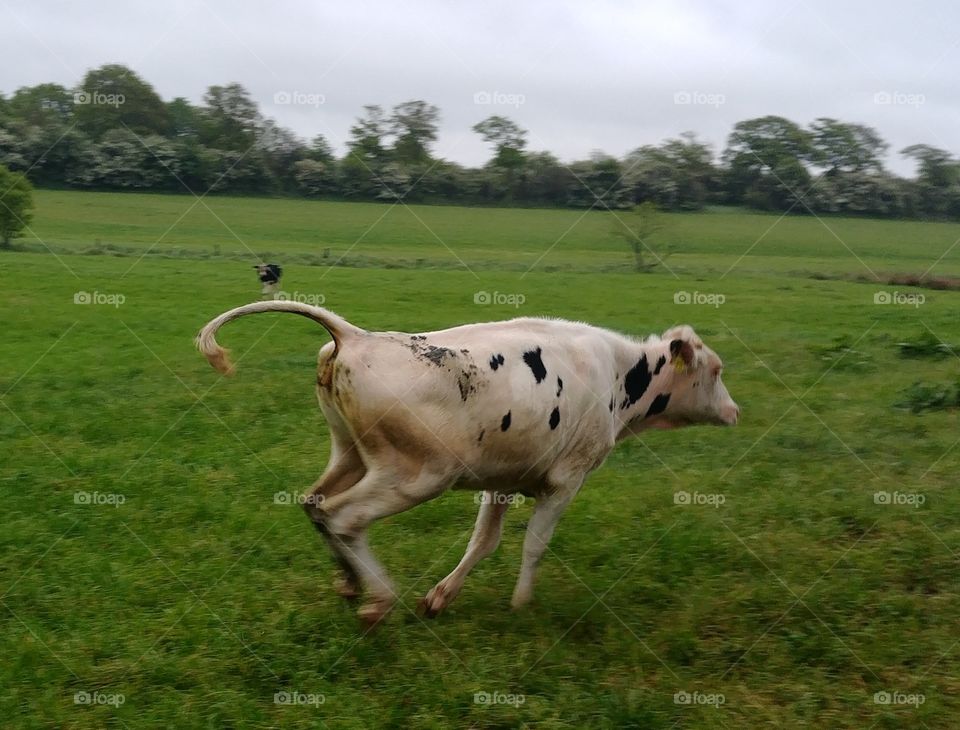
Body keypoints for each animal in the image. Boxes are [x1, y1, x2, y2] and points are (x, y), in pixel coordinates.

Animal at [196, 301, 739, 626]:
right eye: (715, 371)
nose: (734, 412)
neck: (618, 374)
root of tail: (357, 336)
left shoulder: (503, 480)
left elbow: (484, 542)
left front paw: (441, 596)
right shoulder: (566, 481)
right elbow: (535, 546)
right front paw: (522, 605)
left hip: (350, 453)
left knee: (315, 504)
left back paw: (350, 583)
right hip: (416, 474)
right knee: (343, 517)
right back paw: (378, 599)